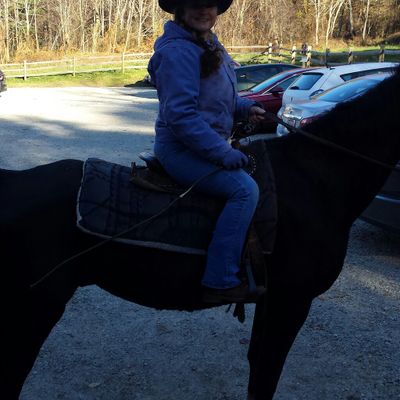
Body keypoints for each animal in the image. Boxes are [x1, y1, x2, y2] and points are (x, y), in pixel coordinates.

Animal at [1, 67, 399, 400]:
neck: (315, 179)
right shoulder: (291, 301)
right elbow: (265, 376)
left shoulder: (271, 301)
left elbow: (257, 368)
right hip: (34, 309)